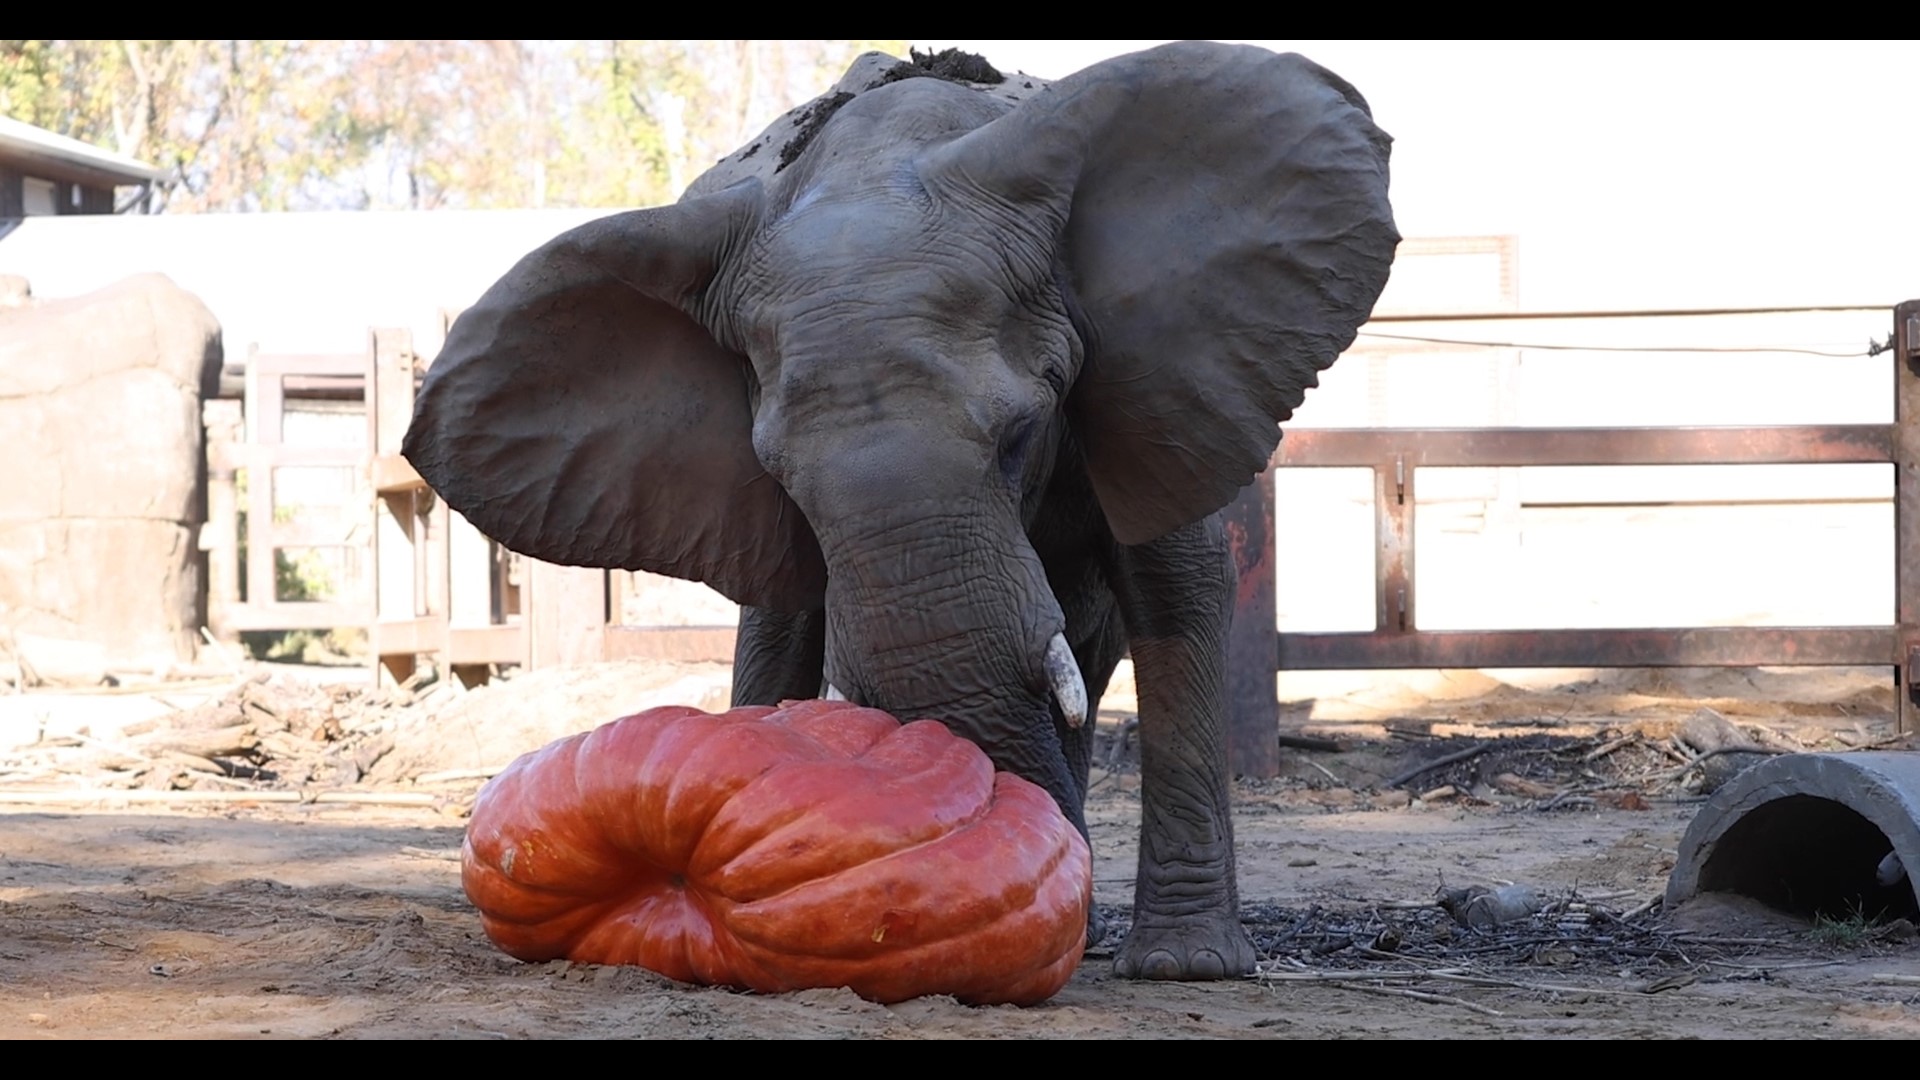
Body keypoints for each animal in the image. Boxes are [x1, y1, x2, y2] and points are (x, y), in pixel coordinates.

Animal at [405, 42, 1397, 980]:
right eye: (781, 475)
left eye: (1023, 433)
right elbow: (781, 625)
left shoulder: (1159, 382)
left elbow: (1179, 589)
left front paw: (1185, 966)